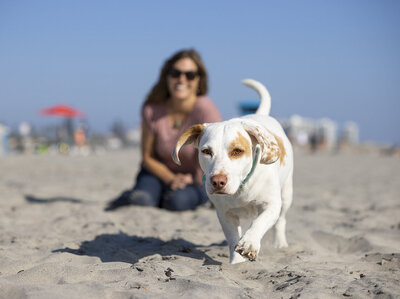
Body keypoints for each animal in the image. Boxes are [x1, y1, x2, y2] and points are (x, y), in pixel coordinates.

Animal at [172, 79, 294, 264]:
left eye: (237, 151)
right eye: (206, 151)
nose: (217, 181)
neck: (241, 187)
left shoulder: (271, 205)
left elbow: (259, 223)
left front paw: (249, 243)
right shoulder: (225, 215)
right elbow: (233, 239)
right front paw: (236, 263)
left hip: (286, 194)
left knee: (281, 221)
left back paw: (279, 244)